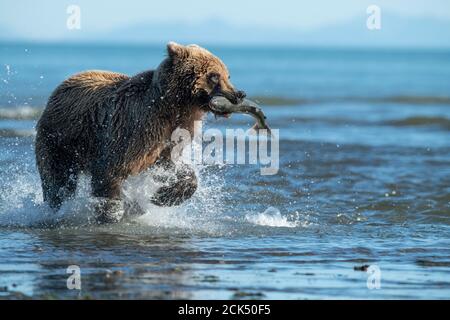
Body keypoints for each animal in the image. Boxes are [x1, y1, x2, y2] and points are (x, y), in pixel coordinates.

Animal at [35, 42, 246, 222]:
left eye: (227, 75)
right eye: (214, 76)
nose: (239, 94)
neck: (175, 107)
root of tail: (60, 88)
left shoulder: (170, 137)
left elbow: (173, 167)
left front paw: (161, 196)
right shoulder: (135, 127)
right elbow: (111, 168)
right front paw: (111, 212)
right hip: (60, 140)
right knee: (58, 179)